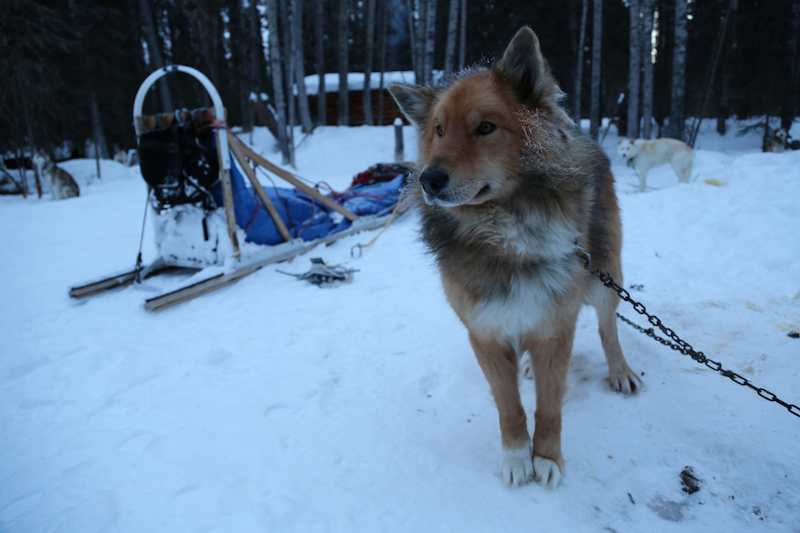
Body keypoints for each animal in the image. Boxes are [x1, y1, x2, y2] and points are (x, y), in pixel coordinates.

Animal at [389, 27, 642, 489]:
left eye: (486, 127)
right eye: (438, 130)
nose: (429, 180)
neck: (506, 234)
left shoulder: (555, 326)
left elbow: (550, 406)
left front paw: (547, 458)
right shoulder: (485, 332)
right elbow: (509, 406)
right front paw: (515, 458)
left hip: (604, 272)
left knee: (607, 325)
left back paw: (619, 371)